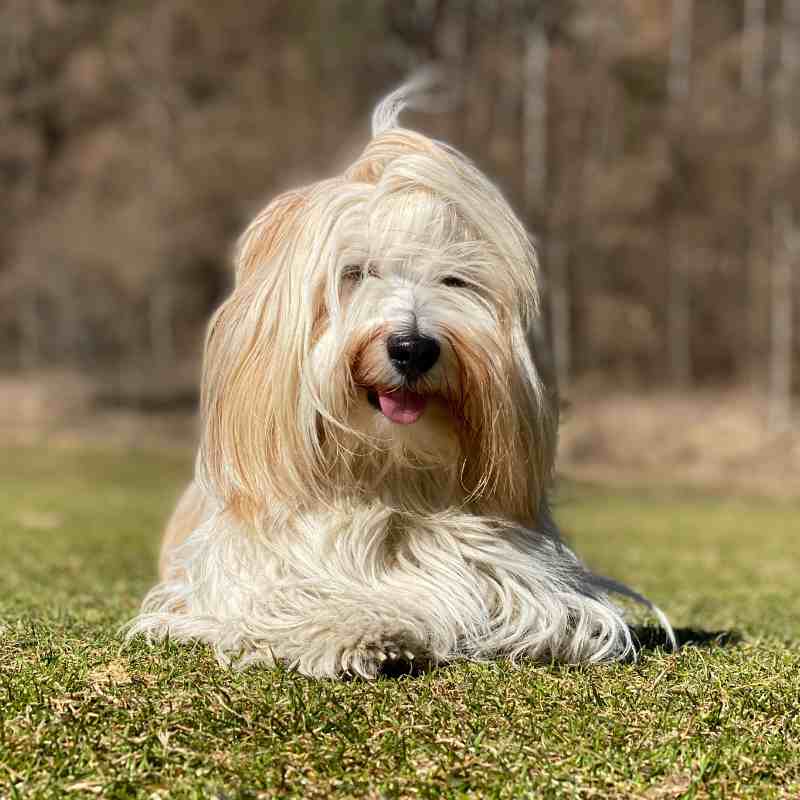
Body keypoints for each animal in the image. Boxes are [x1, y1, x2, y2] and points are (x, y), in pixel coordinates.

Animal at [126, 78, 676, 680]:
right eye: (355, 273)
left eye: (455, 280)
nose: (413, 347)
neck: (392, 475)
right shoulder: (250, 576)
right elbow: (294, 599)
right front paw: (359, 629)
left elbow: (536, 608)